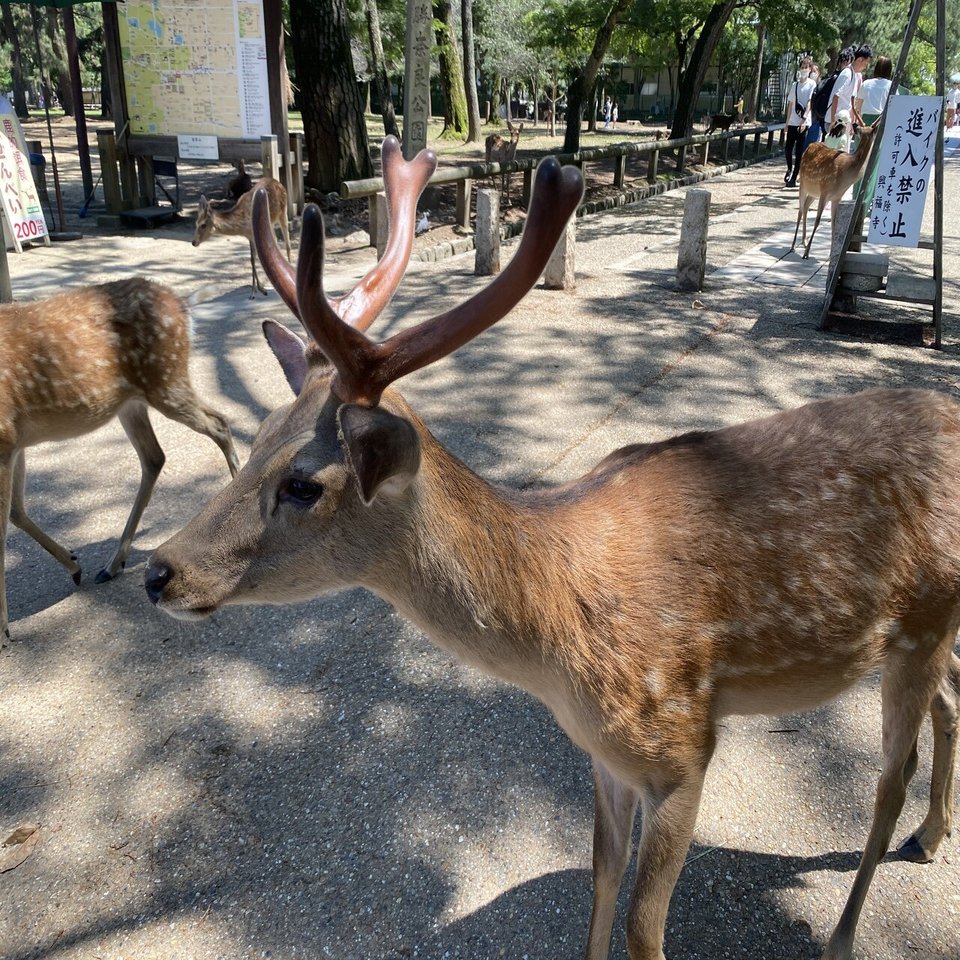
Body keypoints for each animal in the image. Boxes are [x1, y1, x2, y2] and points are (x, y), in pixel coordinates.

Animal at [0, 277, 239, 641]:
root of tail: (182, 304)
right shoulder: (16, 442)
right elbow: (16, 512)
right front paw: (74, 564)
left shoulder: (4, 436)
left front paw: (4, 629)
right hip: (134, 401)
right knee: (155, 456)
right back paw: (112, 564)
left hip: (166, 381)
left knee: (219, 422)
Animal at [791, 121, 878, 259]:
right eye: (863, 129)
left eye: (870, 130)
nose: (855, 125)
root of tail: (810, 145)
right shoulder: (825, 191)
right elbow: (817, 221)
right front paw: (806, 253)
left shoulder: (836, 197)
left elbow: (835, 224)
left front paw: (832, 254)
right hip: (804, 184)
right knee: (800, 210)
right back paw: (793, 246)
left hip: (814, 192)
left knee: (805, 207)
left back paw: (803, 241)